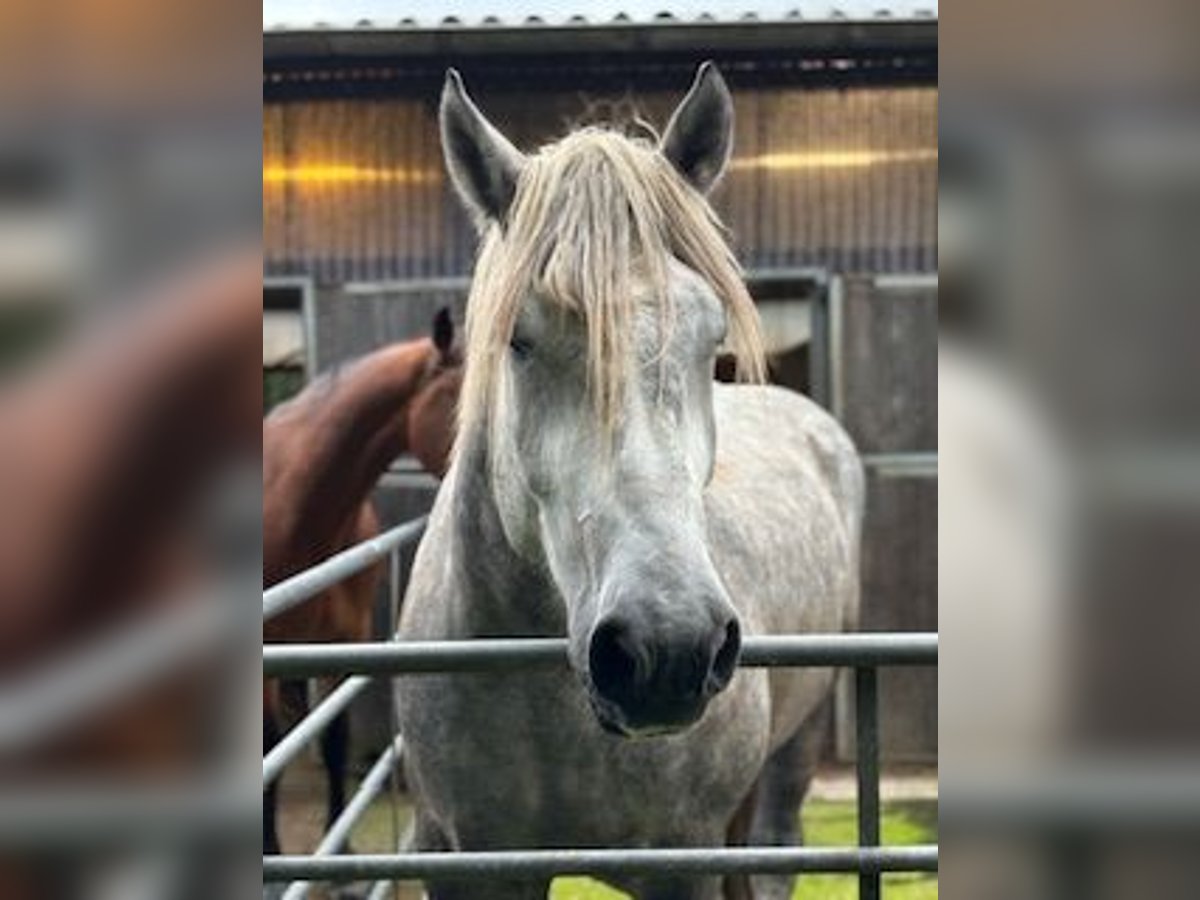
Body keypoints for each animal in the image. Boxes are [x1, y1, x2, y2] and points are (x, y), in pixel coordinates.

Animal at [396, 65, 864, 900]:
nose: (666, 648)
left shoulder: (679, 864)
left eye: (711, 336)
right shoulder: (467, 862)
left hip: (798, 747)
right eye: (519, 339)